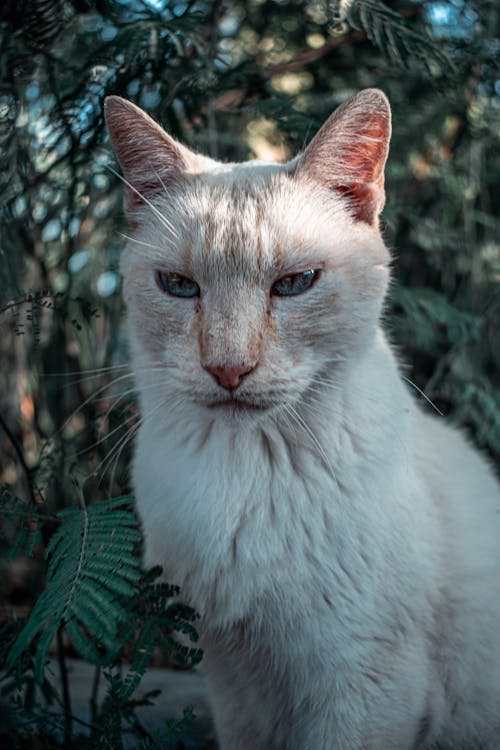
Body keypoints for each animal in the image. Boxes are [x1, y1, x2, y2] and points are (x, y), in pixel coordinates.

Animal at [105, 89, 500, 750]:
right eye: (179, 286)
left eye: (294, 284)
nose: (228, 368)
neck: (244, 475)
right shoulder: (235, 681)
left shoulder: (363, 681)